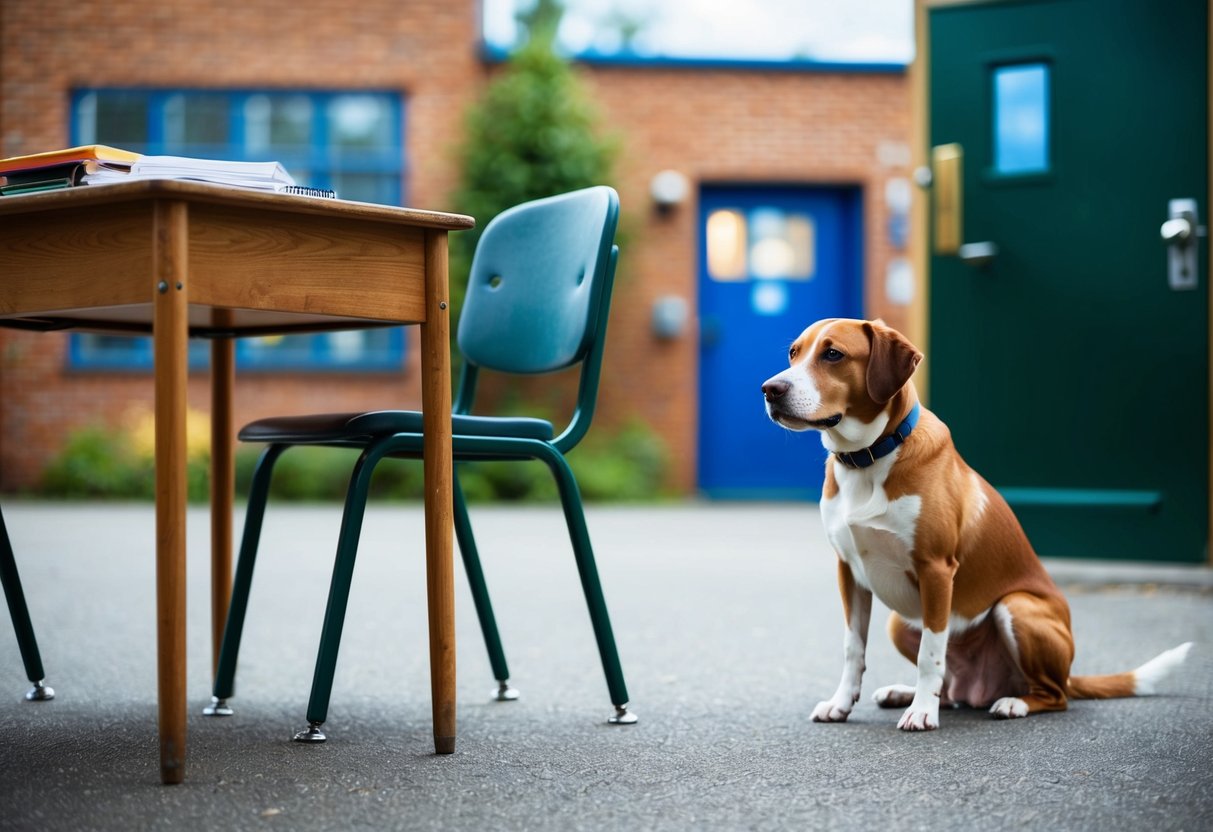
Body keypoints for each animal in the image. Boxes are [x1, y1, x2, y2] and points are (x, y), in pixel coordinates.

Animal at [761, 315, 1188, 732]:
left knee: (1054, 696)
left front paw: (922, 713)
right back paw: (907, 693)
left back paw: (1012, 702)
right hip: (900, 623)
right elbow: (853, 648)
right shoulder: (848, 571)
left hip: (1016, 607)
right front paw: (841, 704)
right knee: (952, 690)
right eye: (794, 353)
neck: (868, 458)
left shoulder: (936, 570)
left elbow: (930, 654)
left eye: (833, 354)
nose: (770, 389)